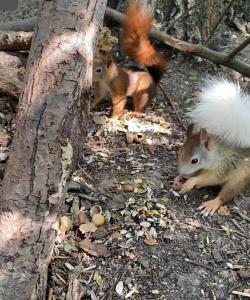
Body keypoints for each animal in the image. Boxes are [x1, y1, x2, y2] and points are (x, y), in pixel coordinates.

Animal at [175, 78, 250, 217]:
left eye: (194, 160)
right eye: (180, 152)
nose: (181, 173)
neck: (217, 154)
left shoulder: (225, 165)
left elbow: (211, 178)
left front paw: (191, 182)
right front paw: (179, 179)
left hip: (240, 177)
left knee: (226, 194)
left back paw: (212, 203)